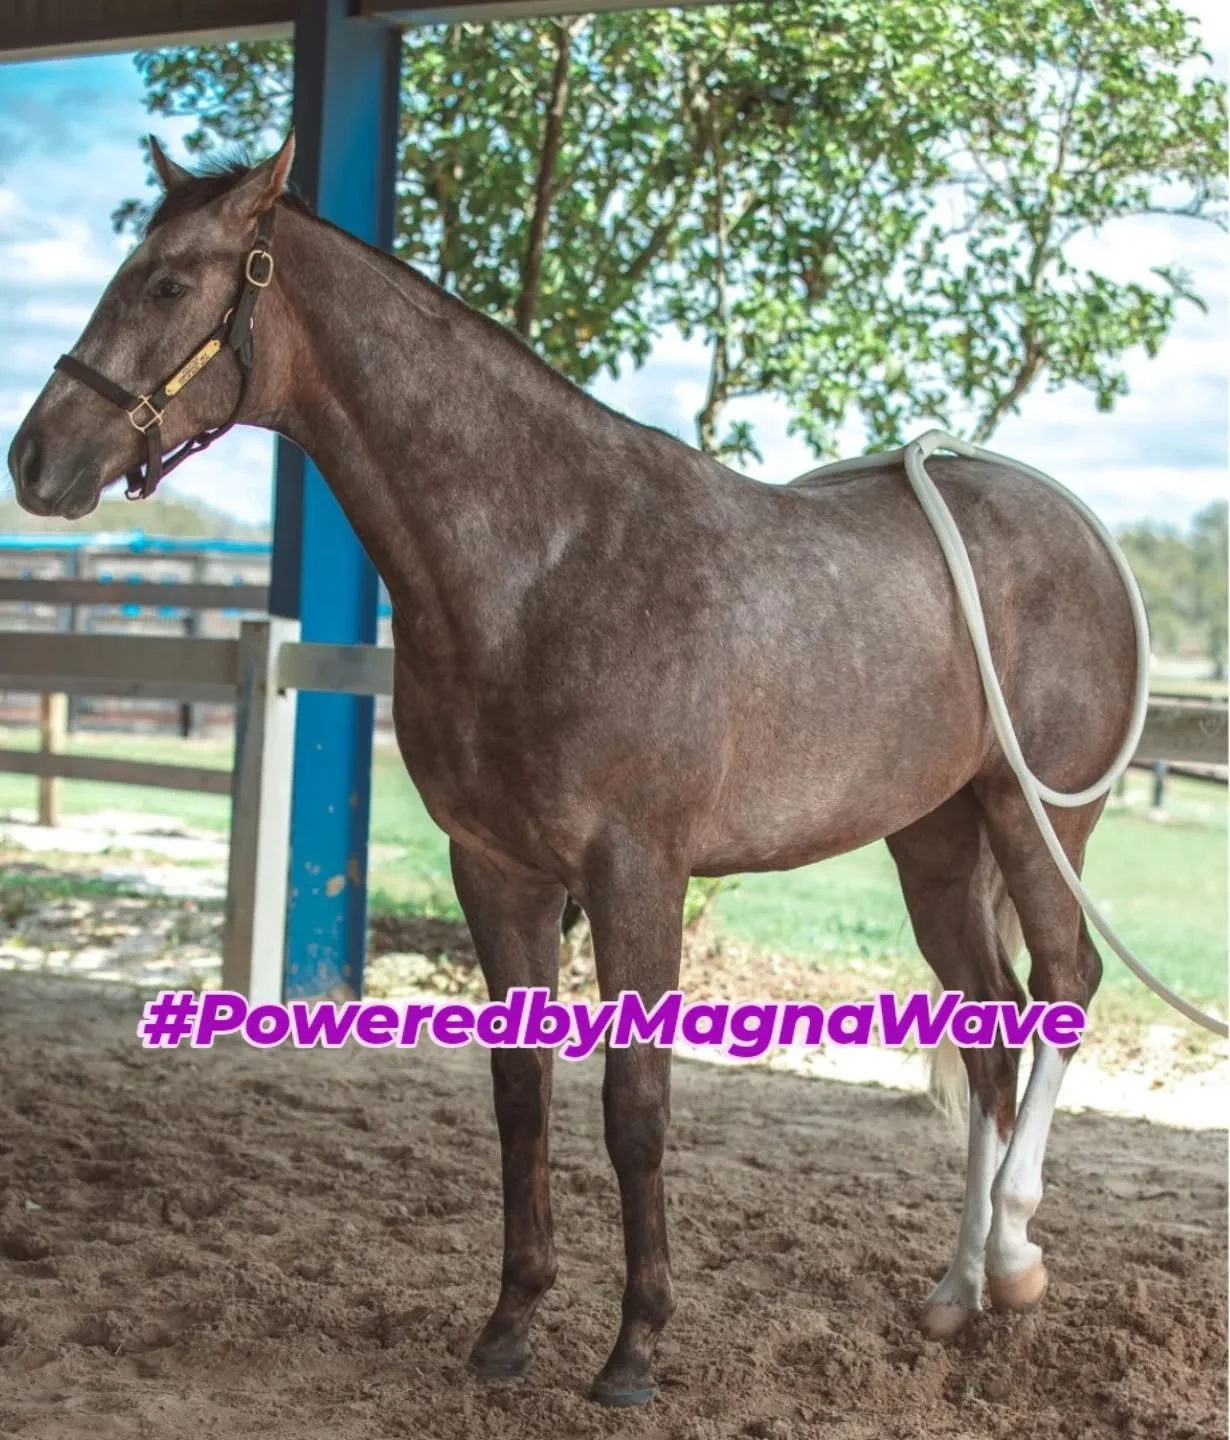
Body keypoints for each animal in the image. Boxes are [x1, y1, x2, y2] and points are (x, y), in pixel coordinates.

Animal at [8, 133, 1135, 1406]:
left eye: (166, 284)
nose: (36, 459)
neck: (545, 560)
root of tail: (1072, 528)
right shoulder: (496, 869)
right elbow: (521, 1097)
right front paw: (509, 1327)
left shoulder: (638, 873)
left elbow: (634, 1106)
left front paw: (635, 1347)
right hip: (936, 843)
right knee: (991, 1031)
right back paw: (958, 1290)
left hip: (1041, 820)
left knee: (1066, 985)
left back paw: (1017, 1258)